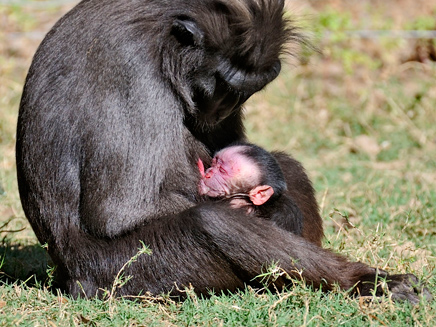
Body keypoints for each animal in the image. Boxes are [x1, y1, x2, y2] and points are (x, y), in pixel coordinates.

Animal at [16, 0, 430, 304]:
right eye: (226, 85)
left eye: (246, 91)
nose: (223, 110)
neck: (160, 34)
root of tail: (70, 277)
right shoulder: (132, 72)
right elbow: (116, 211)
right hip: (125, 273)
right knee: (212, 222)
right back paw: (365, 282)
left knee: (287, 167)